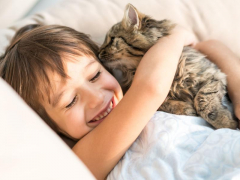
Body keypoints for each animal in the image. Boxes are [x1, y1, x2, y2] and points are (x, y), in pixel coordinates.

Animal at [98, 3, 237, 129]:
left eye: (112, 39)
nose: (98, 54)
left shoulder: (214, 76)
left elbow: (203, 101)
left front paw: (225, 123)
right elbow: (163, 103)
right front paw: (185, 108)